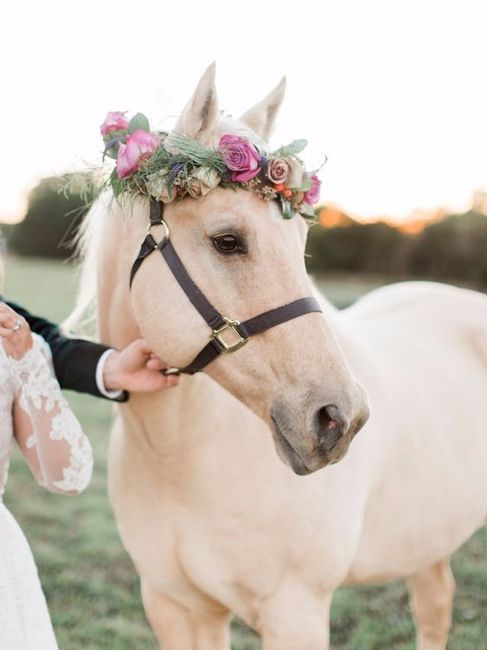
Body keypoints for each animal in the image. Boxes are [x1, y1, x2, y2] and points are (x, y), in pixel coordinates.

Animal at [71, 64, 487, 649]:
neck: (181, 456)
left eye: (302, 236)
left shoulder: (295, 611)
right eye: (227, 241)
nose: (340, 419)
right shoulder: (174, 606)